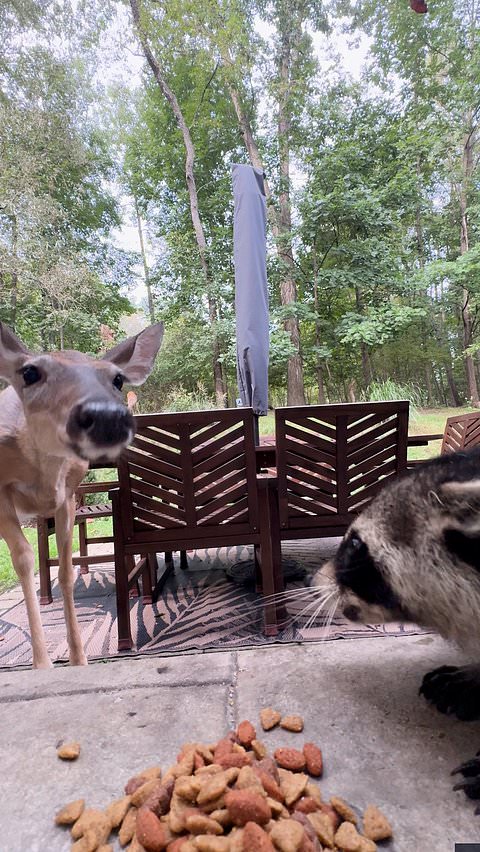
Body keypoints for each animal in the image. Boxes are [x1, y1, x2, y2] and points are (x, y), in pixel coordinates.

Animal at [0, 321, 164, 669]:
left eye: (117, 378)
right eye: (30, 372)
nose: (105, 415)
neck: (43, 475)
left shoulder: (68, 496)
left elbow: (66, 569)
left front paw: (78, 658)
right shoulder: (0, 492)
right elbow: (24, 561)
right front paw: (41, 664)